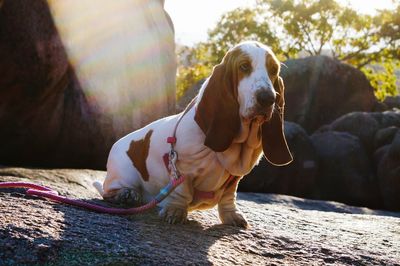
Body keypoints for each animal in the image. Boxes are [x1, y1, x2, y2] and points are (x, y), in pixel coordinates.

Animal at [95, 40, 292, 228]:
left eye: (274, 70)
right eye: (244, 66)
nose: (268, 98)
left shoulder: (234, 179)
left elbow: (228, 197)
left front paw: (232, 216)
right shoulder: (182, 170)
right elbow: (182, 192)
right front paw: (175, 212)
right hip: (122, 175)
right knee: (108, 191)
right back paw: (126, 195)